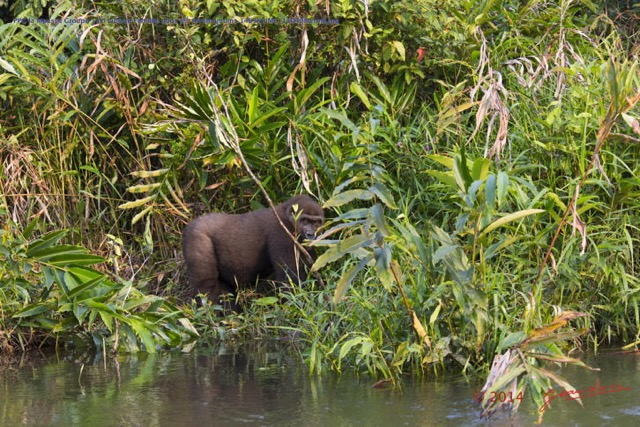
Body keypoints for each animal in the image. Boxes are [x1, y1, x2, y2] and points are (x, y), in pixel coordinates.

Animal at [184, 194, 324, 308]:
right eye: (305, 220)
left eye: (317, 222)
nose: (311, 234)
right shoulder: (283, 235)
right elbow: (288, 281)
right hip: (195, 235)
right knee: (207, 284)